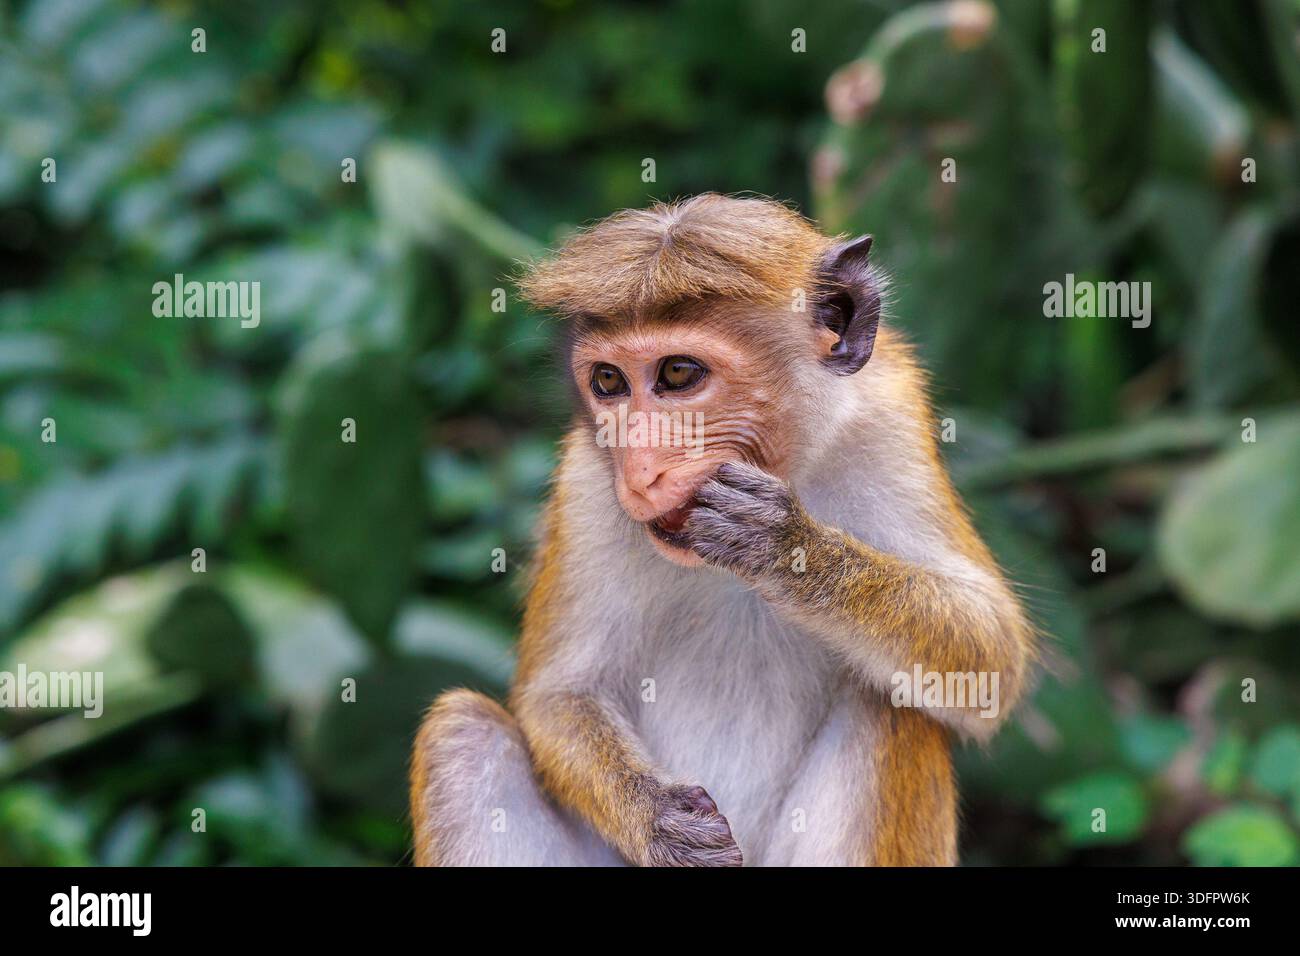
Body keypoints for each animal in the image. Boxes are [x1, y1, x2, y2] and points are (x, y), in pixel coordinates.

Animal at [410, 194, 1035, 866]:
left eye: (679, 373)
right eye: (608, 381)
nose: (640, 470)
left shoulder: (888, 421)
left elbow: (991, 658)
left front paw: (786, 549)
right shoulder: (586, 481)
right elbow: (557, 695)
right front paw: (659, 822)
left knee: (892, 704)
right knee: (462, 733)